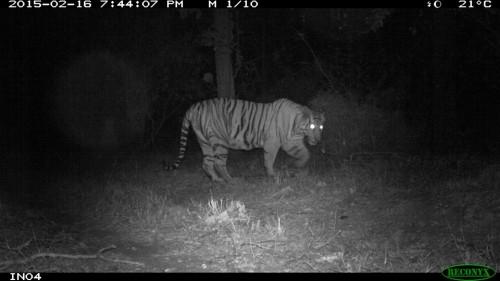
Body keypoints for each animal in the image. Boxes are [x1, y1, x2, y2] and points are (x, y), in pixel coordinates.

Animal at [164, 98, 326, 182]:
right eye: (312, 126)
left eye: (321, 127)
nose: (318, 141)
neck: (298, 128)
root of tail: (195, 106)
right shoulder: (276, 143)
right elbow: (269, 160)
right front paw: (273, 175)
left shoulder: (293, 142)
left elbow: (305, 153)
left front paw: (297, 165)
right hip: (220, 141)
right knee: (218, 163)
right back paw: (230, 180)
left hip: (204, 142)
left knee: (206, 163)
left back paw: (217, 180)